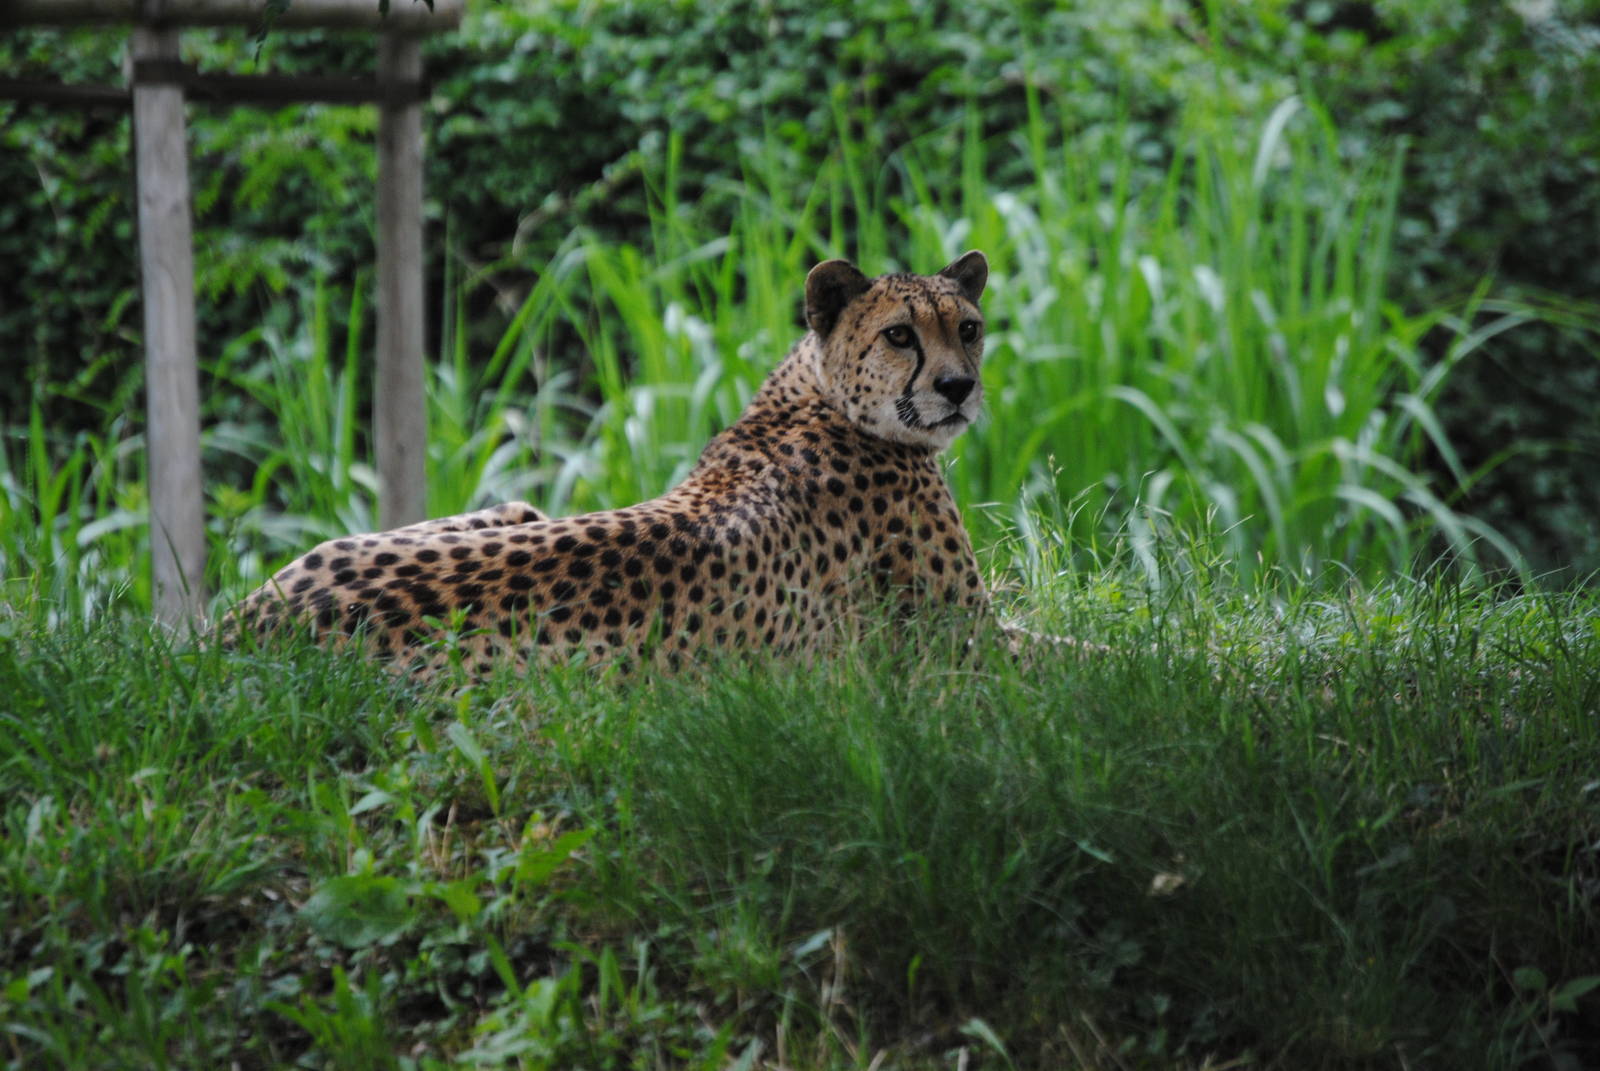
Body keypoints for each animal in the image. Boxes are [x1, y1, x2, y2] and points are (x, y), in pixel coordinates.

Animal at [226, 250, 1022, 680]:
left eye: (969, 329)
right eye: (899, 335)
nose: (958, 387)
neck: (822, 394)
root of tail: (239, 629)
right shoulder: (966, 652)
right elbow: (1049, 647)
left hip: (509, 510)